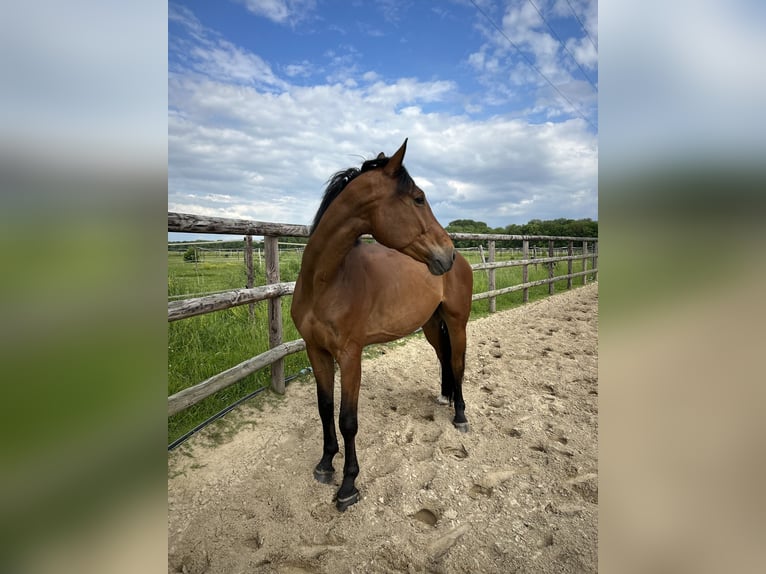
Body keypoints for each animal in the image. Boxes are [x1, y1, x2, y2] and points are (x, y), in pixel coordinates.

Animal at [292, 140, 474, 512]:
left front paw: (348, 486)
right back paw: (445, 397)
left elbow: (348, 420)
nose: (446, 254)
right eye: (418, 198)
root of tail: (463, 262)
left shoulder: (350, 356)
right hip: (432, 326)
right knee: (444, 359)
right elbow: (324, 408)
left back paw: (460, 415)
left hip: (457, 322)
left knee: (458, 363)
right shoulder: (316, 351)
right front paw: (325, 464)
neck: (325, 282)